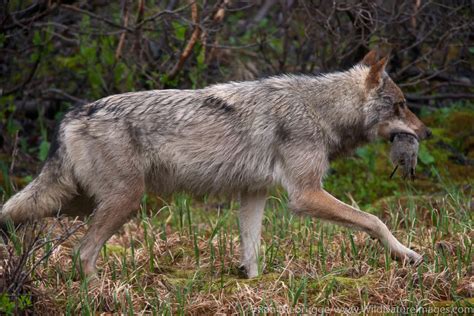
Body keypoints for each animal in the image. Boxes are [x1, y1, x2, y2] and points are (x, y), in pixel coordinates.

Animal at [0, 50, 432, 278]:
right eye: (401, 105)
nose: (425, 132)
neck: (318, 109)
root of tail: (73, 115)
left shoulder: (254, 194)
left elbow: (251, 250)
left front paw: (253, 285)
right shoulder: (305, 195)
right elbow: (374, 220)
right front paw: (407, 254)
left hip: (76, 203)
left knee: (16, 214)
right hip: (119, 202)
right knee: (83, 254)